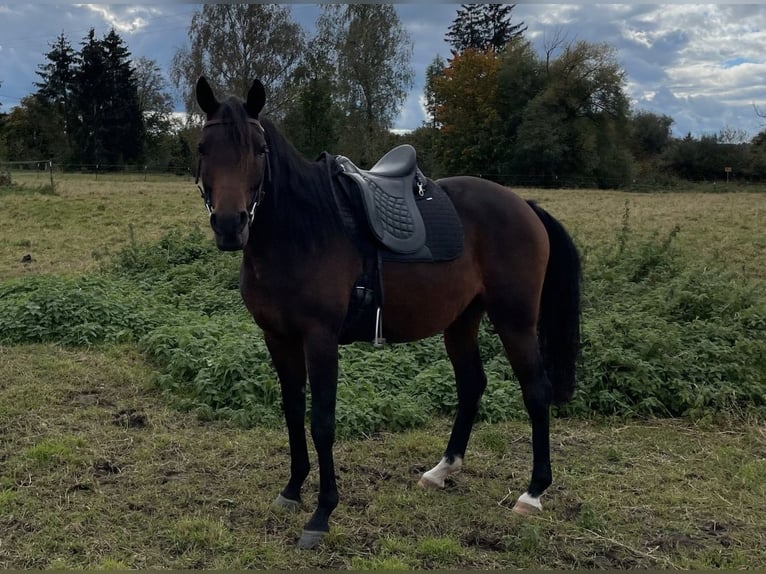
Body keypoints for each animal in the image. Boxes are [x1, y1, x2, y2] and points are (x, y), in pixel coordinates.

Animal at [194, 75, 584, 548]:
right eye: (203, 148)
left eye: (259, 149)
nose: (230, 225)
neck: (302, 228)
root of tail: (524, 205)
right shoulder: (278, 337)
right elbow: (291, 409)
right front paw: (292, 489)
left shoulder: (320, 339)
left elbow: (322, 421)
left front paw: (322, 513)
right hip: (462, 321)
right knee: (472, 384)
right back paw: (442, 470)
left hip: (516, 321)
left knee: (536, 391)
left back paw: (533, 492)